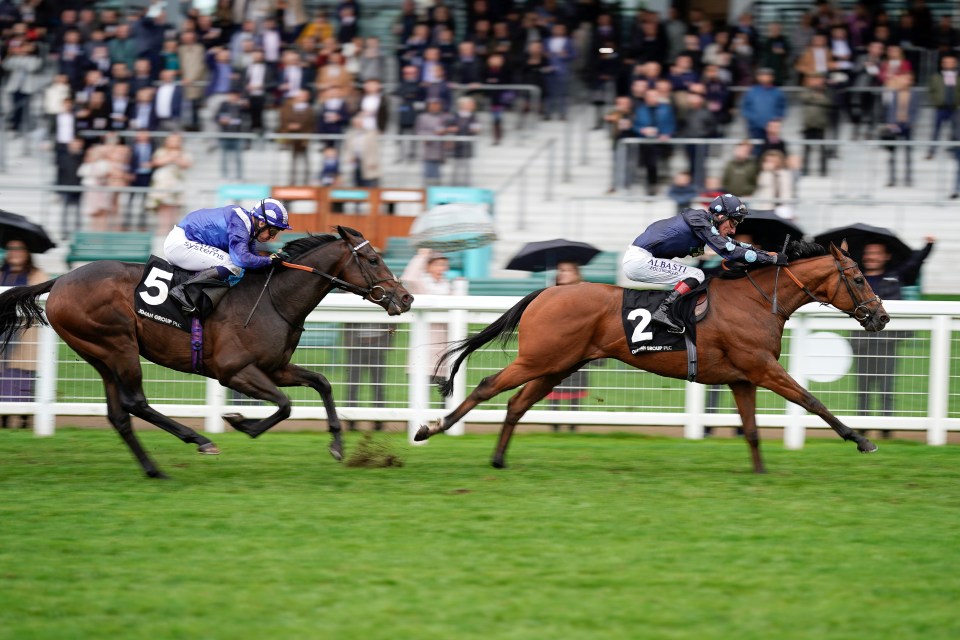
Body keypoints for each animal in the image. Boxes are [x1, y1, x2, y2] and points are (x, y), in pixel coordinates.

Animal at [0, 228, 410, 478]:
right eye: (373, 260)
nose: (405, 298)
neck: (274, 298)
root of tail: (61, 280)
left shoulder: (275, 367)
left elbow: (322, 383)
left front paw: (338, 445)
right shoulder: (234, 370)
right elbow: (285, 405)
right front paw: (241, 422)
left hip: (99, 355)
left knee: (119, 414)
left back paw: (154, 469)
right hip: (118, 346)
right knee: (136, 402)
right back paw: (199, 440)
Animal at [416, 242, 888, 472]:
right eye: (858, 279)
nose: (881, 317)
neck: (757, 300)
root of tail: (547, 292)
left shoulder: (742, 377)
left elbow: (753, 431)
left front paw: (759, 472)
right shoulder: (762, 367)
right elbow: (812, 400)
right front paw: (861, 440)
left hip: (558, 366)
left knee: (516, 403)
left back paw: (498, 458)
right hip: (539, 360)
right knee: (487, 386)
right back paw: (430, 428)